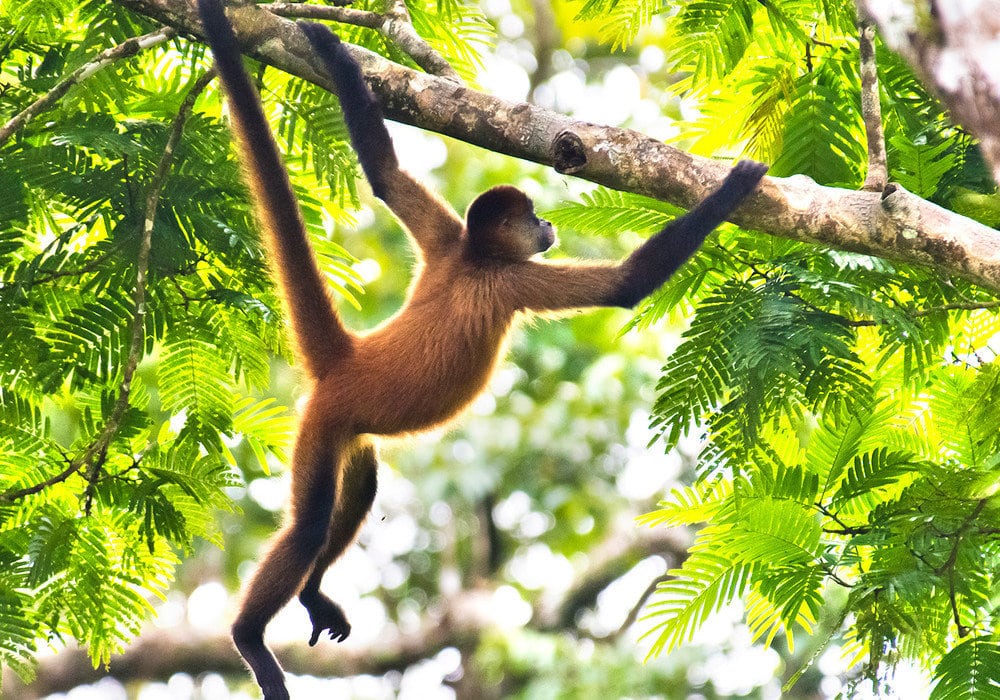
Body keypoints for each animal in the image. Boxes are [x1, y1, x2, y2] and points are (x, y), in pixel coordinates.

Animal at [197, 2, 764, 696]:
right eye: (533, 218)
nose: (547, 225)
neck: (472, 256)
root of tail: (348, 358)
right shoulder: (508, 279)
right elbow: (625, 285)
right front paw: (735, 189)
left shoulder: (446, 241)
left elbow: (384, 175)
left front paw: (331, 47)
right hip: (321, 425)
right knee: (306, 528)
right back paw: (249, 637)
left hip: (345, 436)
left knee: (361, 488)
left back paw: (311, 593)